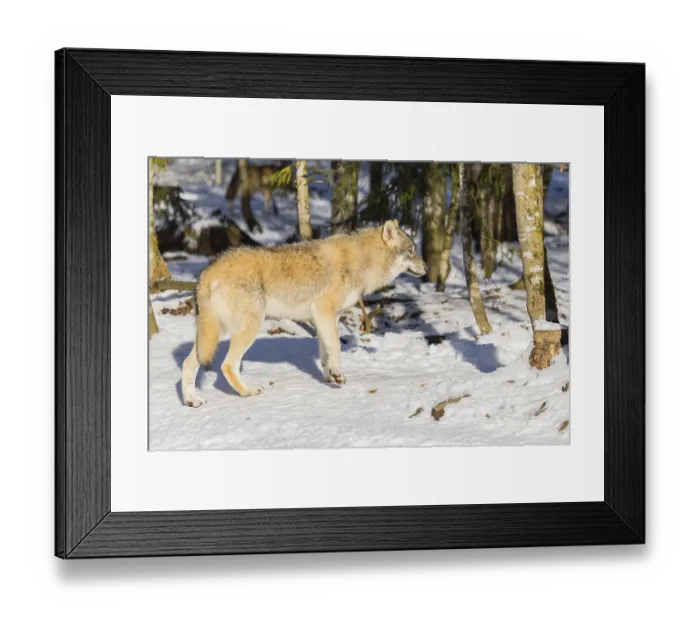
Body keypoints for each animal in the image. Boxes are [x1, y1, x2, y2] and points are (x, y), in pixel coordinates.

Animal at [181, 220, 428, 407]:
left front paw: (331, 377)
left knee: (188, 363)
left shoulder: (326, 318)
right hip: (246, 329)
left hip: (212, 336)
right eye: (411, 251)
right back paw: (248, 391)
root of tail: (208, 271)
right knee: (227, 365)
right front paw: (338, 375)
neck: (363, 260)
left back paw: (192, 400)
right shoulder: (323, 310)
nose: (427, 269)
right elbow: (336, 346)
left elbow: (325, 352)